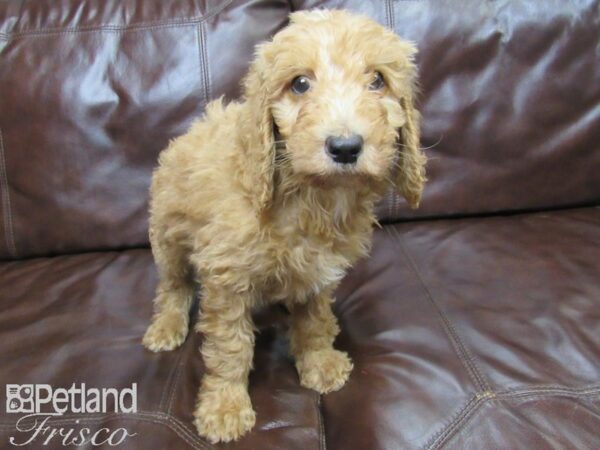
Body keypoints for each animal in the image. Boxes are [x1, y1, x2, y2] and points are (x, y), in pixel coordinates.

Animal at [142, 8, 424, 442]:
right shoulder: (226, 280)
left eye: (378, 80)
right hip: (167, 232)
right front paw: (225, 405)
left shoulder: (320, 275)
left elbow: (314, 321)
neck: (311, 197)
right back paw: (167, 326)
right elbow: (230, 346)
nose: (345, 148)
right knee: (174, 285)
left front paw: (319, 362)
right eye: (300, 84)